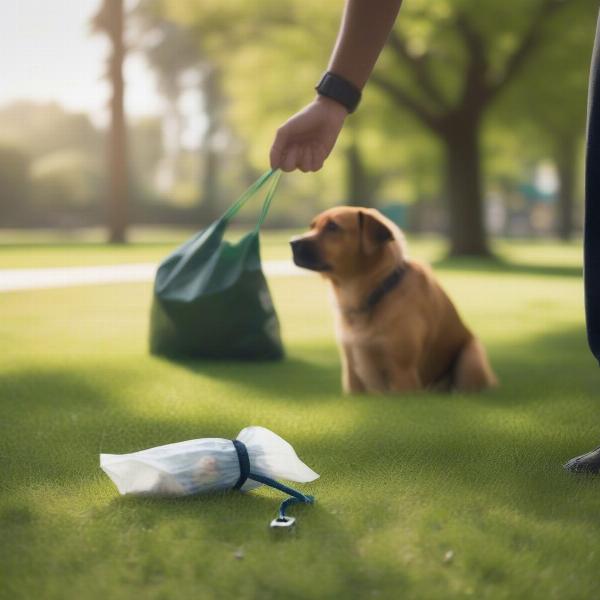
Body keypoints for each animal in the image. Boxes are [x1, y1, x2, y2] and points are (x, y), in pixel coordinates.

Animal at [290, 209, 496, 396]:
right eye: (312, 226)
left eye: (332, 227)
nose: (292, 242)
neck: (375, 291)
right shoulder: (351, 373)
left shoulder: (403, 371)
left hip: (471, 356)